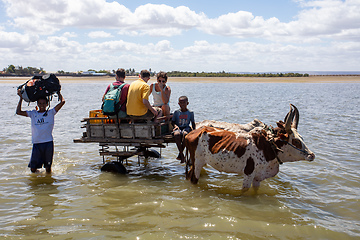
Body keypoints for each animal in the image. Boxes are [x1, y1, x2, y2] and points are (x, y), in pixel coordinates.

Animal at [186, 104, 316, 190]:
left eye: (301, 138)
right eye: (296, 141)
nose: (312, 155)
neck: (269, 147)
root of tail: (193, 132)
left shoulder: (258, 178)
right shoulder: (248, 174)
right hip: (197, 162)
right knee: (193, 179)